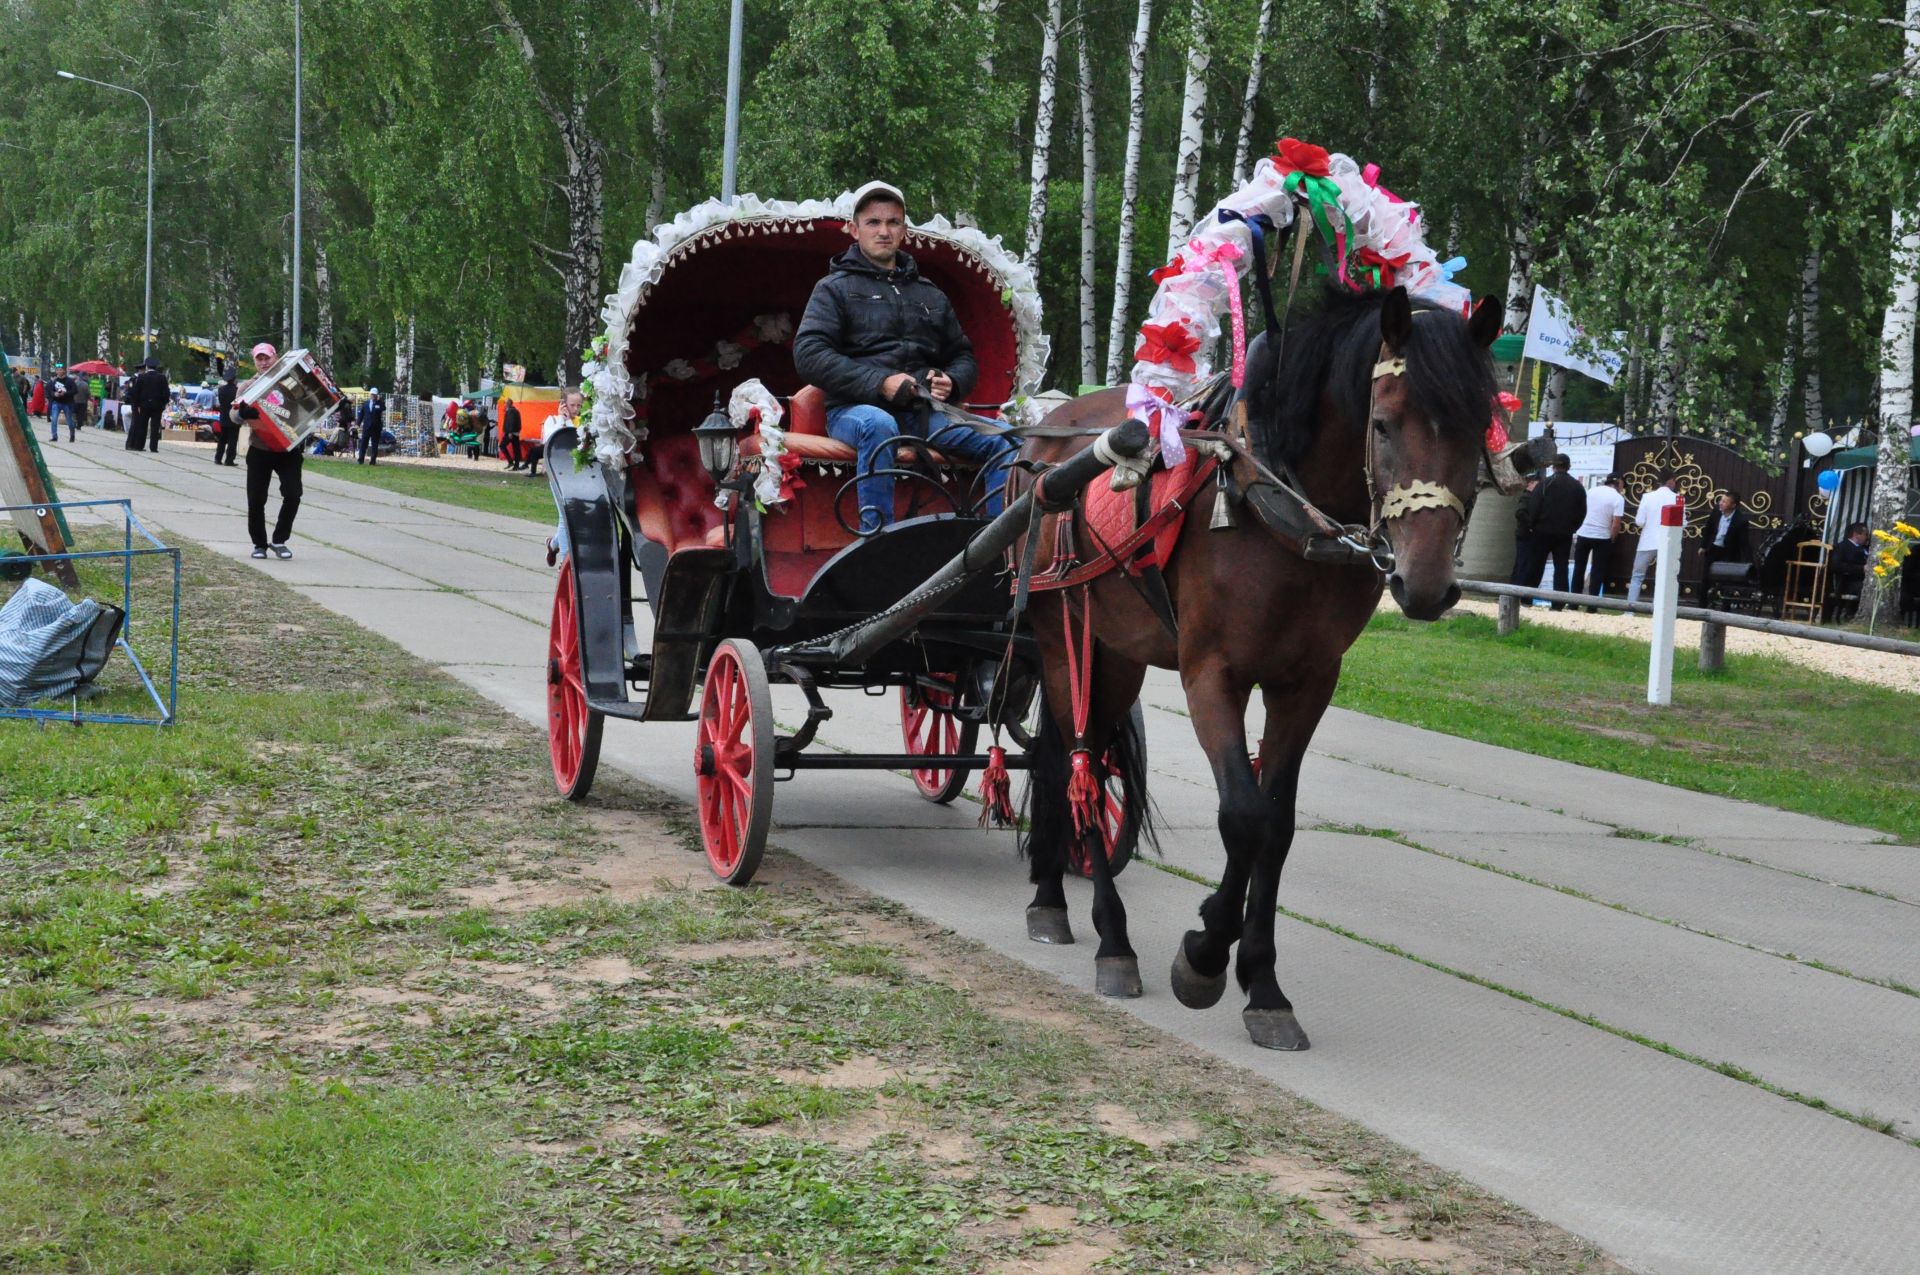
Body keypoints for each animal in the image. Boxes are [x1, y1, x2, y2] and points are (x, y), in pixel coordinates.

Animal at [1021, 284, 1497, 1052]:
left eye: (1480, 427)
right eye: (1384, 424)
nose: (1426, 586)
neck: (1280, 510)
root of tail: (1046, 433)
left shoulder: (1307, 683)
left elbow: (1276, 827)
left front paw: (1263, 985)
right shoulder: (1210, 672)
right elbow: (1241, 815)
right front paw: (1204, 955)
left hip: (1115, 650)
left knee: (1062, 757)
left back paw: (1050, 895)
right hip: (1065, 636)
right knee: (1078, 761)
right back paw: (1110, 938)